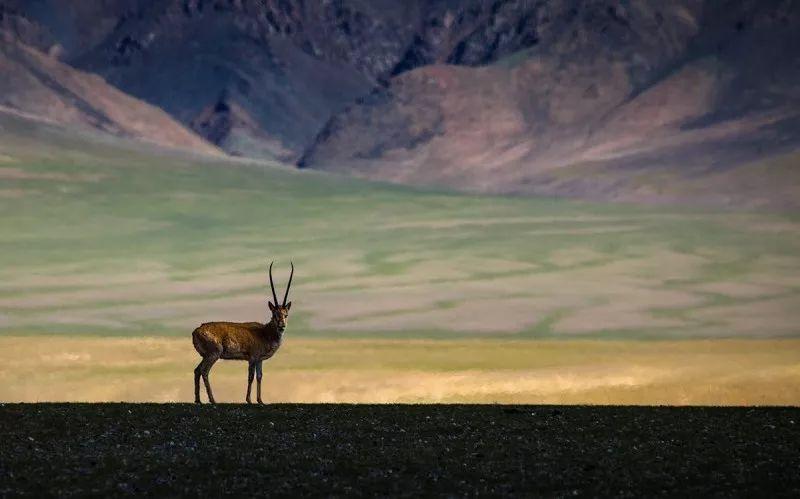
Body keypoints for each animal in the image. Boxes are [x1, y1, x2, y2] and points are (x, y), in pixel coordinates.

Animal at [191, 262, 294, 406]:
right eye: (274, 314)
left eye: (286, 314)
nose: (282, 326)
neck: (265, 332)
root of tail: (196, 330)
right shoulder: (252, 358)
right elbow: (250, 377)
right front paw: (249, 400)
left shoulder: (259, 360)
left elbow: (259, 377)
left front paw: (260, 400)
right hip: (213, 355)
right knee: (204, 371)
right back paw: (212, 400)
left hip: (206, 356)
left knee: (197, 370)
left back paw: (198, 400)